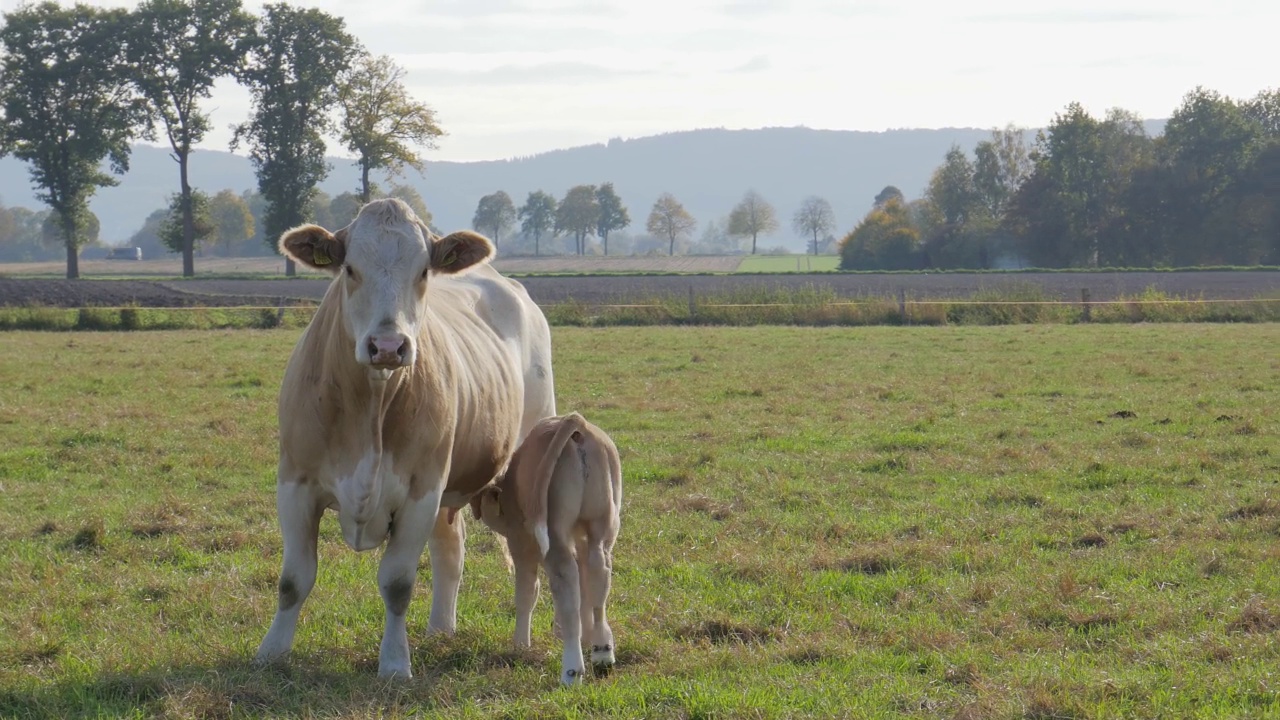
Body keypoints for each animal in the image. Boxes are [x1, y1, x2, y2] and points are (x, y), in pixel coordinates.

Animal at [253, 198, 555, 676]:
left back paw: (520, 644)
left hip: (520, 473)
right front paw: (272, 652)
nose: (388, 346)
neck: (371, 404)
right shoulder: (295, 483)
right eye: (350, 269)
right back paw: (441, 630)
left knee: (526, 565)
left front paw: (395, 662)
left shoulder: (420, 492)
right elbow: (293, 579)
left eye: (424, 270)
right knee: (451, 550)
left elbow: (397, 583)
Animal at [471, 412, 619, 681]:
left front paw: (520, 645)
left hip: (554, 534)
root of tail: (575, 422)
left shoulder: (521, 544)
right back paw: (602, 650)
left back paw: (572, 670)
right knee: (597, 578)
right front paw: (585, 636)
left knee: (566, 586)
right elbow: (584, 590)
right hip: (601, 526)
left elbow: (527, 593)